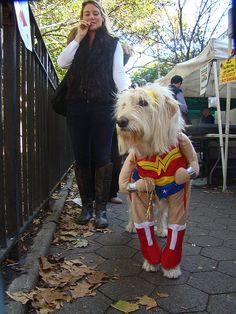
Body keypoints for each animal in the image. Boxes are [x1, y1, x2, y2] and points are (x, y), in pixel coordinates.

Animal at [116, 83, 199, 278]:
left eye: (143, 102)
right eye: (124, 105)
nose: (120, 122)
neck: (154, 153)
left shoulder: (178, 197)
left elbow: (176, 229)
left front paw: (171, 267)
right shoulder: (139, 194)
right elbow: (144, 228)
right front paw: (151, 261)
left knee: (161, 214)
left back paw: (161, 229)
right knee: (132, 213)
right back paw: (131, 226)